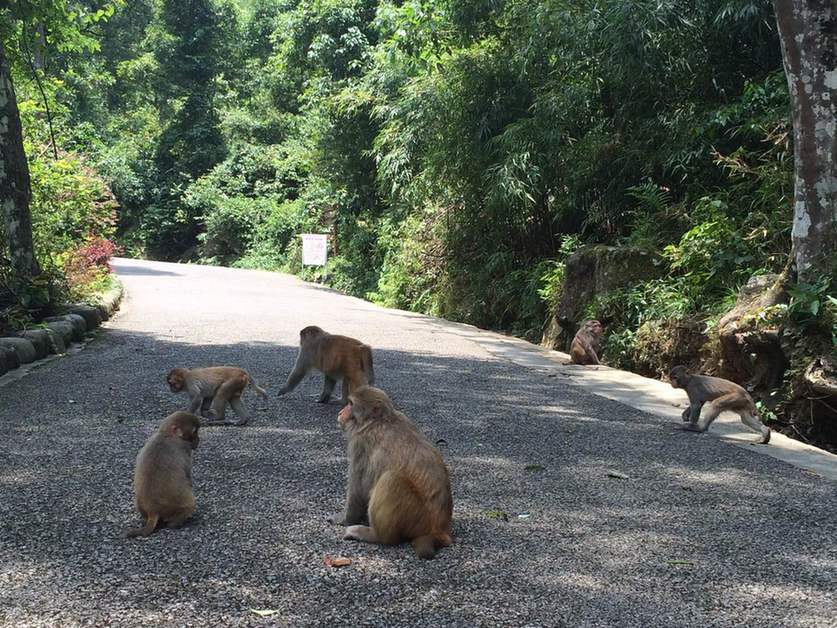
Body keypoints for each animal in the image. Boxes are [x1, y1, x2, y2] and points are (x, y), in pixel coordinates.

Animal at [330, 386, 454, 560]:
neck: (379, 421)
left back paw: (375, 535)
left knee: (391, 479)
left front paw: (343, 519)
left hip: (416, 517)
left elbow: (358, 489)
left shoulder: (360, 442)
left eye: (351, 404)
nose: (341, 412)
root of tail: (440, 530)